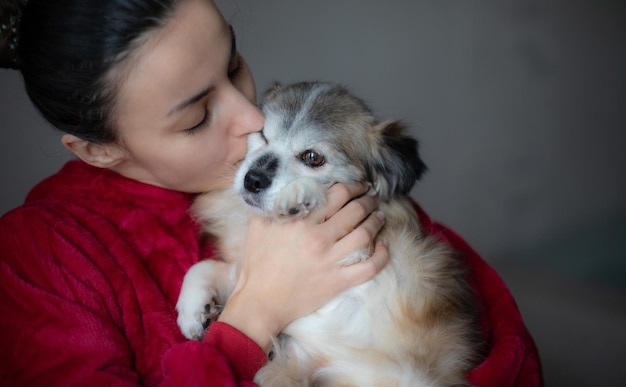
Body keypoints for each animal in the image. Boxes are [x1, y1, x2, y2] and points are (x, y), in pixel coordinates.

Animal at [178, 82, 480, 387]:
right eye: (262, 134)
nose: (252, 179)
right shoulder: (247, 268)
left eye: (313, 158)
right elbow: (205, 267)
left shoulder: (365, 253)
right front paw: (191, 310)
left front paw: (298, 193)